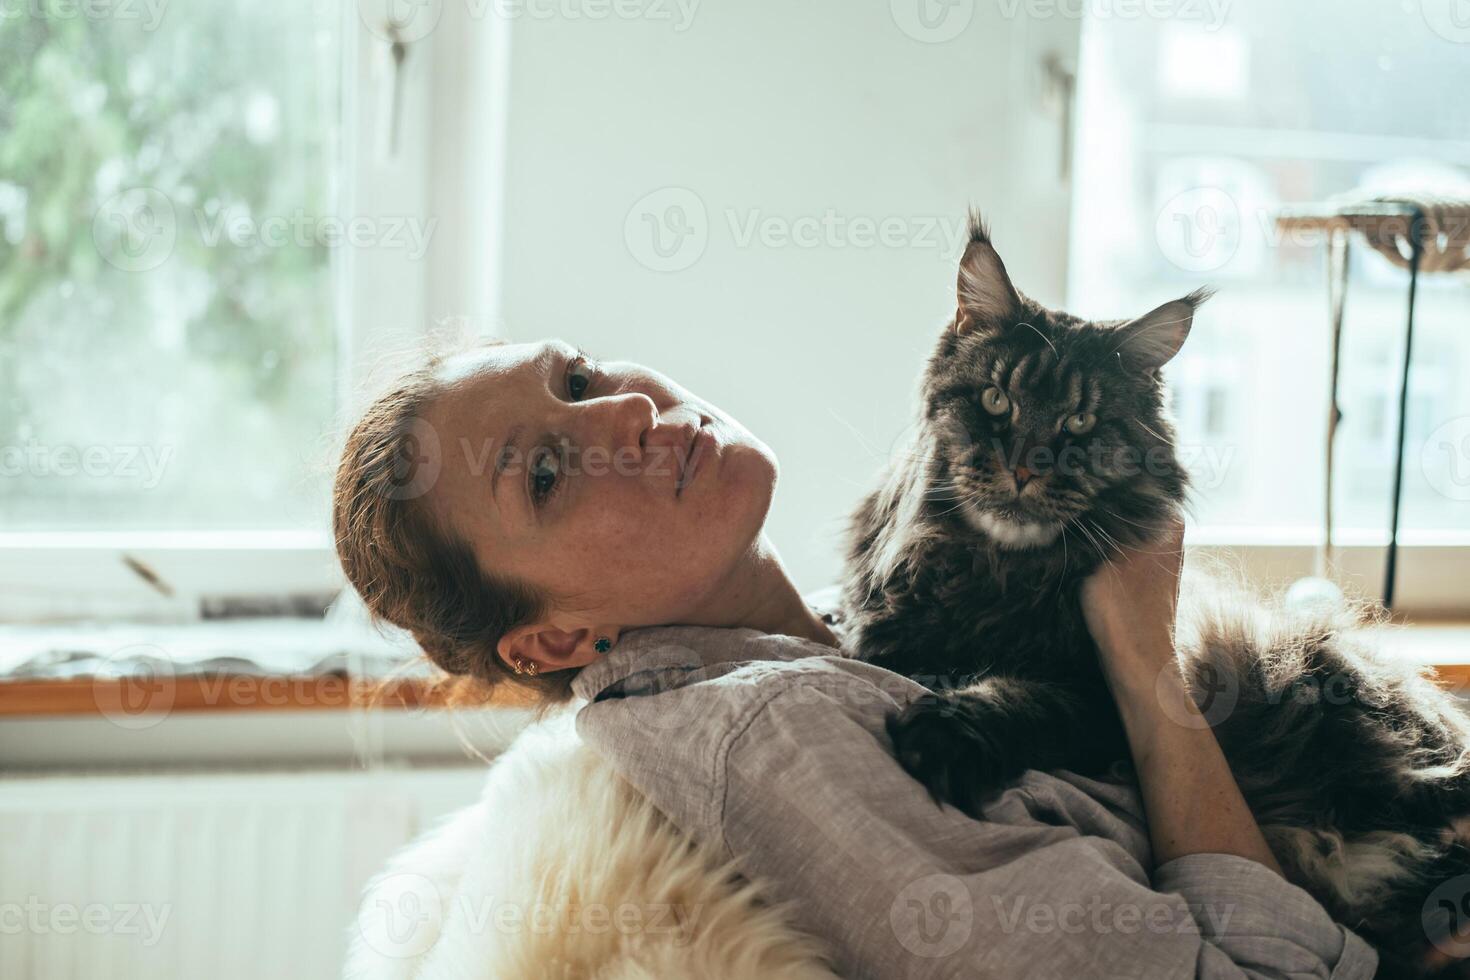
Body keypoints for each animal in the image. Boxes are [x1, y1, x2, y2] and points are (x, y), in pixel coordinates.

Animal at [846, 211, 1470, 975]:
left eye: (1080, 424)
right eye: (996, 401)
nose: (1025, 468)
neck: (996, 572)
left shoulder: (1102, 700)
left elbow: (1024, 701)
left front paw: (946, 735)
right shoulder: (885, 632)